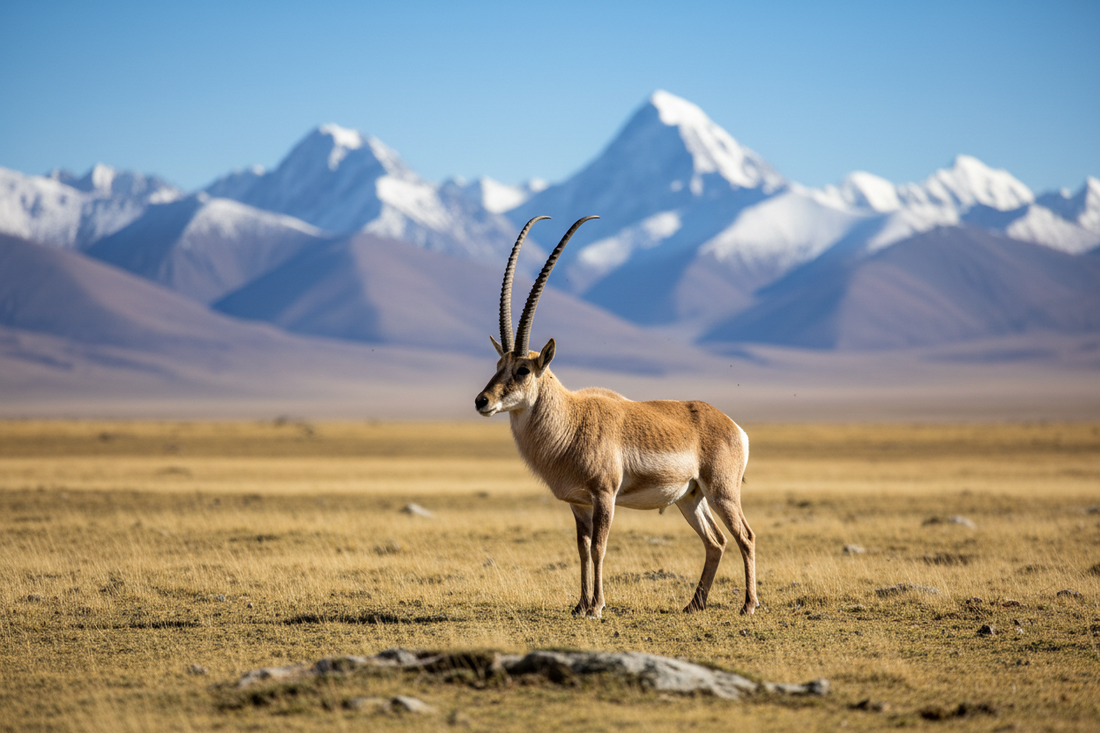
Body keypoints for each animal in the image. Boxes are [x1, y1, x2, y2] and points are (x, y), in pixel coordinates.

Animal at [475, 216, 758, 619]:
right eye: (498, 365)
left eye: (523, 370)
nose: (482, 401)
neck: (570, 421)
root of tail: (733, 426)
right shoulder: (578, 504)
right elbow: (581, 549)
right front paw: (579, 606)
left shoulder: (604, 496)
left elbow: (598, 548)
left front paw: (597, 607)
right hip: (690, 498)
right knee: (716, 541)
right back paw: (693, 604)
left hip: (722, 491)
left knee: (744, 536)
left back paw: (748, 605)